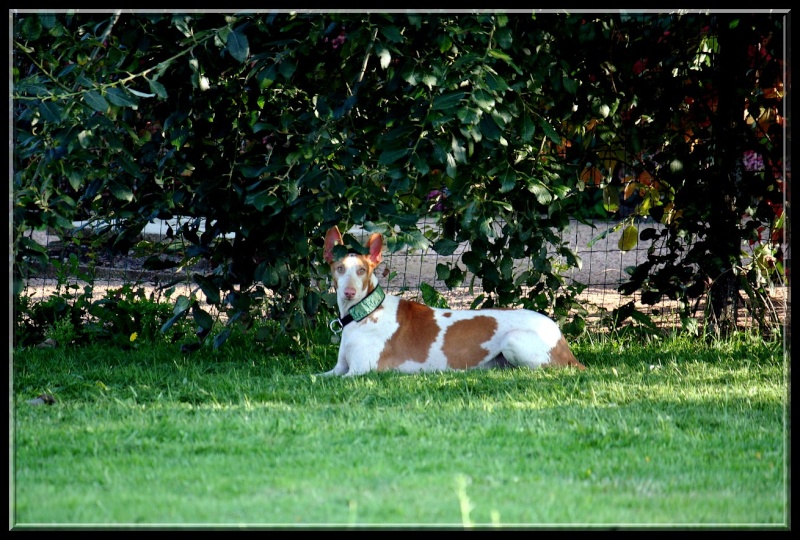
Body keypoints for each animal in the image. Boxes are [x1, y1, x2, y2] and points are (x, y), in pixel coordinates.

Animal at [322, 226, 584, 378]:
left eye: (362, 271)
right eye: (339, 269)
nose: (349, 293)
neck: (366, 312)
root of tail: (563, 341)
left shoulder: (359, 372)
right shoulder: (337, 369)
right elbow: (314, 377)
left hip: (514, 340)